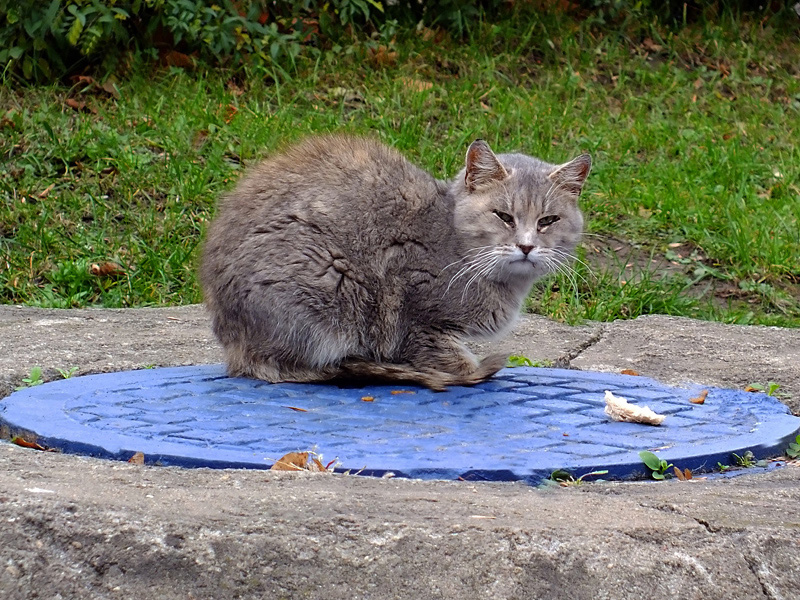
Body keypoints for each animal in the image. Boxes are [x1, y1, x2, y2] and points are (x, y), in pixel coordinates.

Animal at [200, 134, 588, 392]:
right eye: (504, 217)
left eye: (548, 221)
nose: (526, 245)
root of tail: (233, 344)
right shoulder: (417, 316)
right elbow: (453, 362)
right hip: (330, 285)